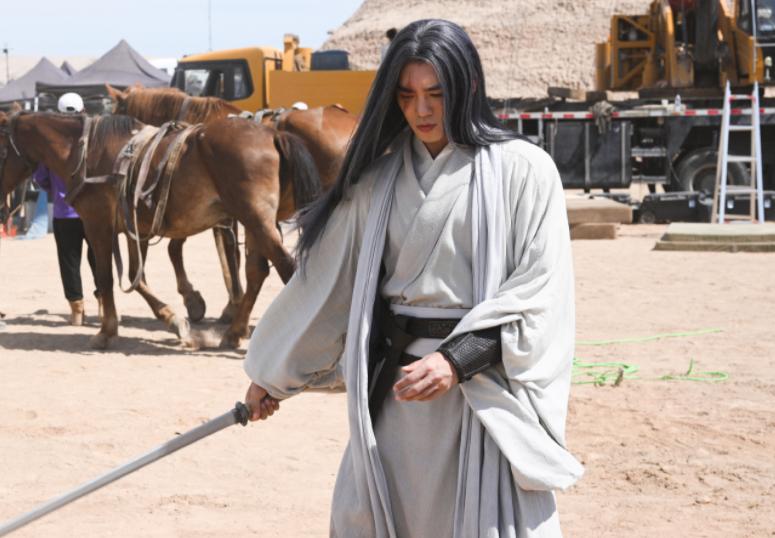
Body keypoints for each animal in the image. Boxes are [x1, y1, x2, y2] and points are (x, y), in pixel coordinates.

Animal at [0, 111, 320, 349]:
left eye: (1, 150)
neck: (86, 153)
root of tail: (272, 134)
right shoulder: (134, 229)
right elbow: (136, 277)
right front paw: (175, 320)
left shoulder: (97, 226)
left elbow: (105, 277)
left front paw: (106, 332)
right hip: (255, 223)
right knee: (257, 272)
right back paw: (233, 333)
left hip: (256, 220)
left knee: (285, 268)